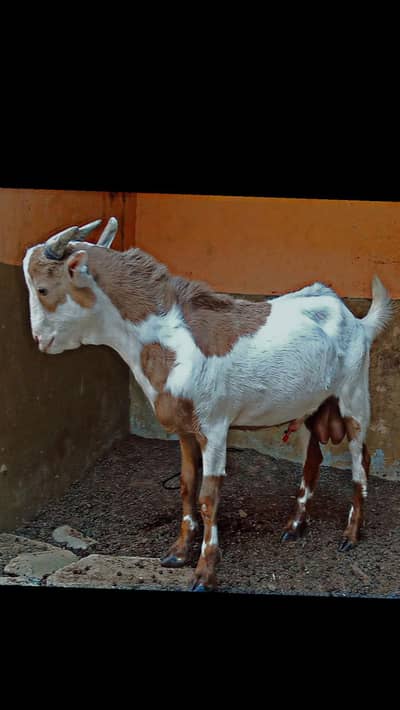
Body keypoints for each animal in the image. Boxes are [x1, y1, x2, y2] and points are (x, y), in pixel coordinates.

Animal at [22, 217, 392, 591]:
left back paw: (350, 534)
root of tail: (358, 320)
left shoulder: (213, 425)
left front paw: (205, 570)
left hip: (354, 396)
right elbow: (187, 486)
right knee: (313, 458)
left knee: (361, 459)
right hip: (309, 405)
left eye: (42, 289)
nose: (40, 339)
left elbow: (208, 497)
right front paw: (178, 552)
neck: (170, 338)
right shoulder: (184, 429)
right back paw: (294, 527)